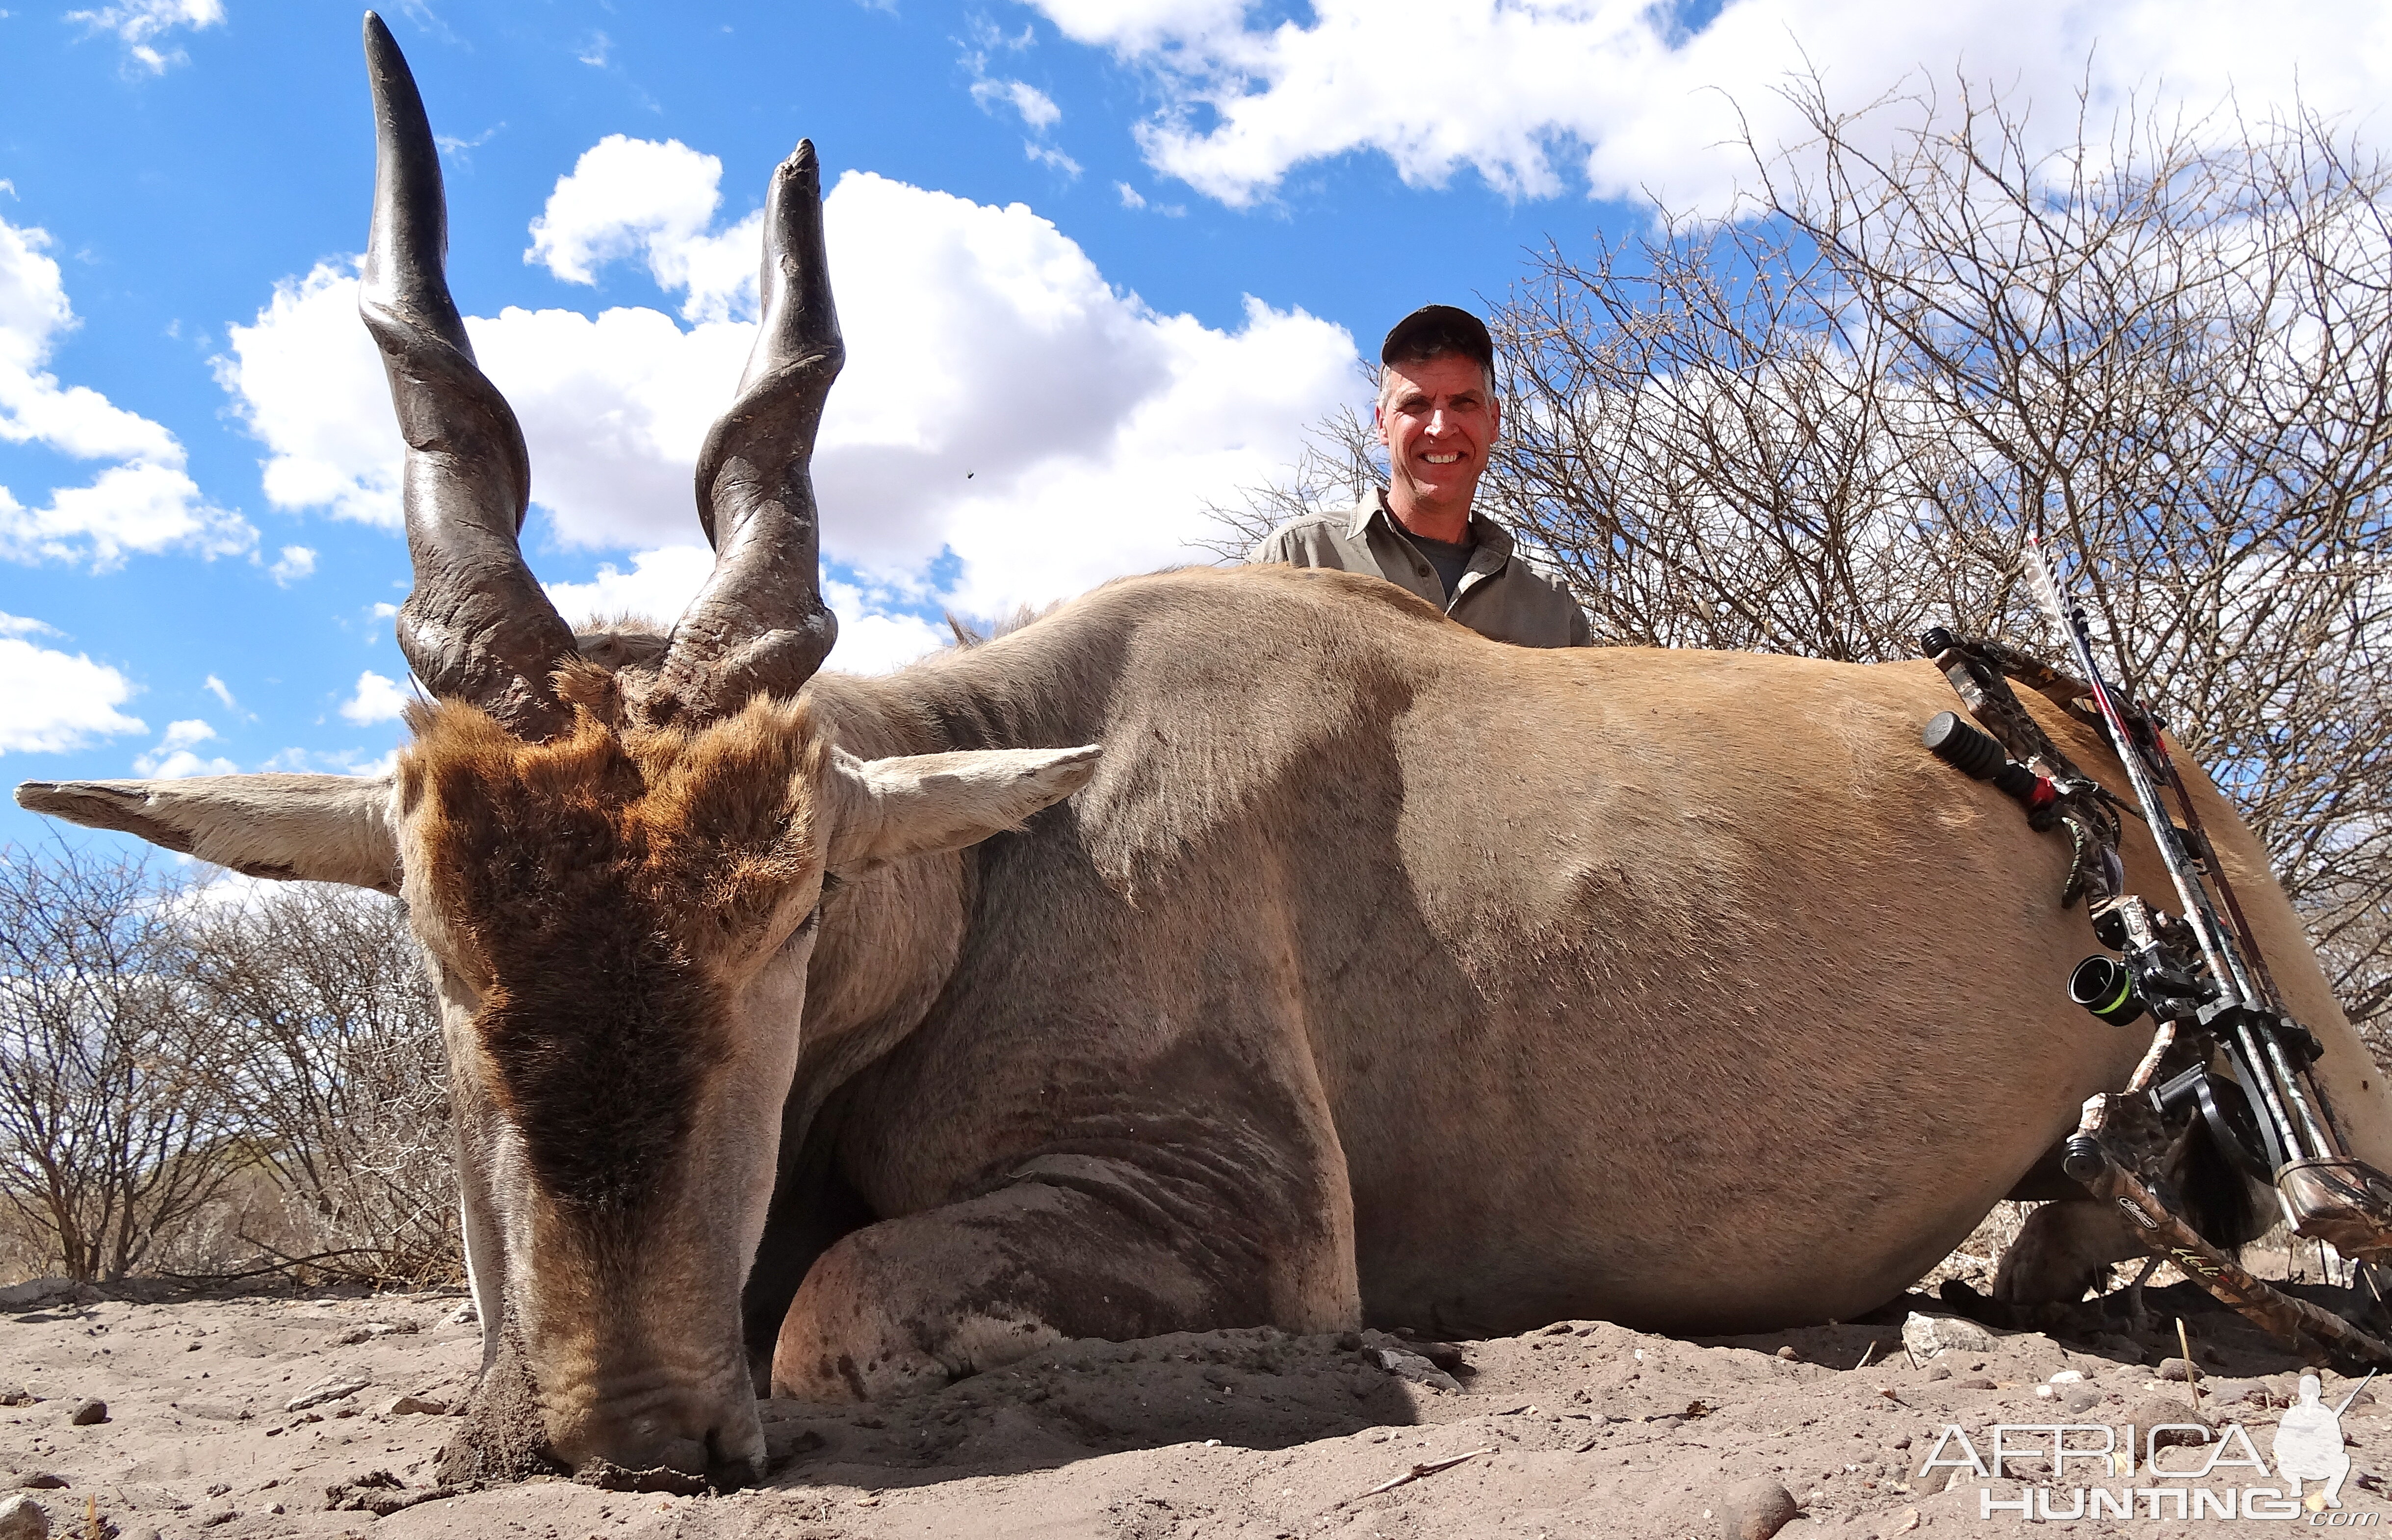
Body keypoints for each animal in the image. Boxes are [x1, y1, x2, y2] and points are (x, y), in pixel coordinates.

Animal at [19, 15, 2392, 1492]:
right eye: (432, 935)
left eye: (791, 912)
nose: (616, 1429)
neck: (1004, 832)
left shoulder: (1239, 1206)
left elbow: (843, 1301)